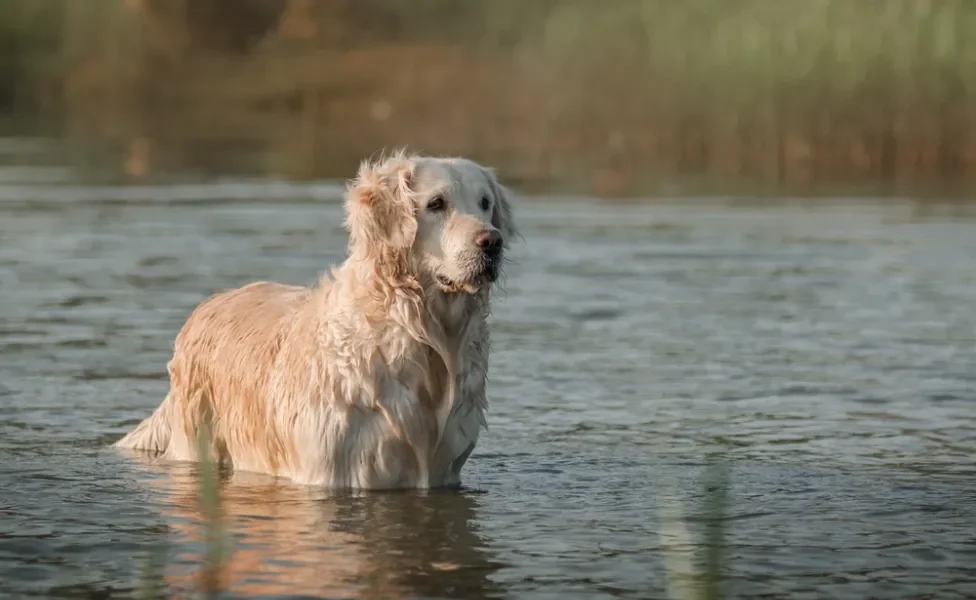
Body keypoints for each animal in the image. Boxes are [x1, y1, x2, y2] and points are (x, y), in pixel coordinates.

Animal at [116, 152, 520, 490]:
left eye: (485, 204)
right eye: (436, 203)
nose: (492, 242)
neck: (419, 333)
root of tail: (207, 305)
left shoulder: (443, 471)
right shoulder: (332, 469)